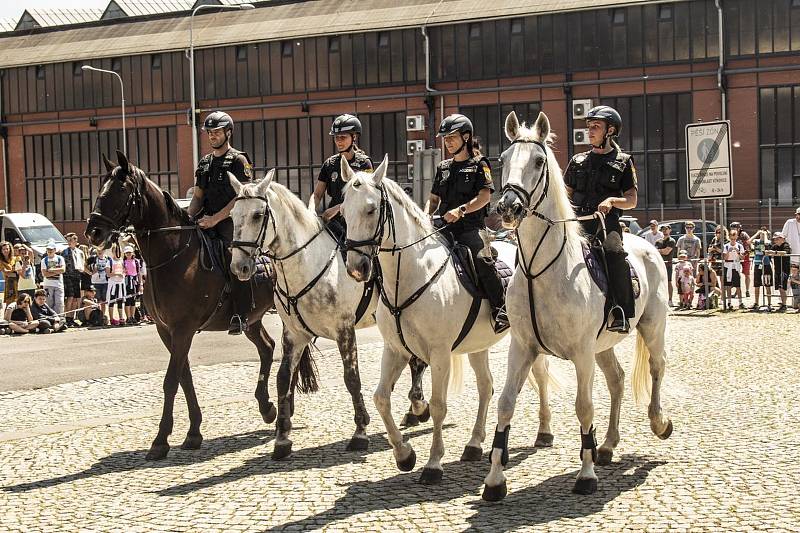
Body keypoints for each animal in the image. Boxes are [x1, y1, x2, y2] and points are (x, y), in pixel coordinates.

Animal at [83, 151, 316, 462]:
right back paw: (267, 407)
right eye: (100, 189)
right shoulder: (167, 331)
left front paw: (160, 440)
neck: (173, 255)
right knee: (267, 348)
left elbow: (171, 381)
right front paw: (193, 432)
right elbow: (185, 377)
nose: (94, 232)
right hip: (251, 319)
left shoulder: (183, 329)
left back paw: (282, 411)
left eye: (120, 190)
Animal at [228, 170, 434, 458]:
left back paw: (416, 409)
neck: (306, 264)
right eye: (232, 215)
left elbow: (352, 379)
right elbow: (283, 379)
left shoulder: (344, 330)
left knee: (417, 361)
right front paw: (282, 438)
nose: (239, 266)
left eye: (258, 215)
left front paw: (360, 432)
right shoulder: (294, 334)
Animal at [338, 156, 556, 484]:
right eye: (343, 210)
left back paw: (543, 432)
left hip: (527, 340)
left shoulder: (439, 354)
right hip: (479, 345)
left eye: (371, 209)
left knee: (539, 376)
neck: (411, 274)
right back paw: (474, 444)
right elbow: (381, 399)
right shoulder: (395, 350)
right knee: (486, 387)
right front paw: (404, 455)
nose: (356, 267)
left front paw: (432, 464)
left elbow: (439, 405)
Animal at [482, 111, 676, 498]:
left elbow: (584, 407)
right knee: (617, 380)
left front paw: (586, 475)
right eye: (503, 159)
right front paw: (495, 480)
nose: (508, 207)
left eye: (538, 161)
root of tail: (648, 246)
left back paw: (659, 422)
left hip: (652, 326)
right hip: (604, 346)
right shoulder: (522, 347)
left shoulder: (581, 353)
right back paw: (608, 445)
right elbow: (506, 404)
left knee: (657, 367)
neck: (541, 272)